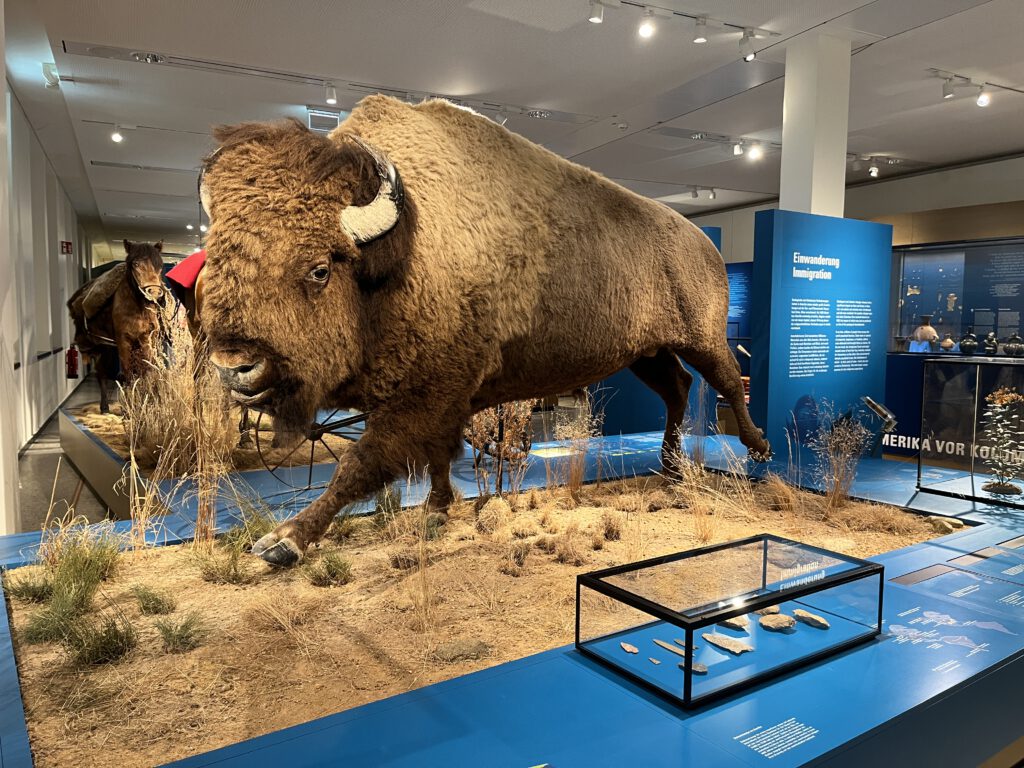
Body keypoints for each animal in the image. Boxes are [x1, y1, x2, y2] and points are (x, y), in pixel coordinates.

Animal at [68, 241, 165, 415]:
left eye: (160, 265)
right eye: (135, 264)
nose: (153, 292)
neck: (138, 309)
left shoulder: (147, 340)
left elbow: (147, 371)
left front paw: (148, 405)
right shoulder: (123, 342)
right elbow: (127, 374)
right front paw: (130, 410)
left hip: (108, 348)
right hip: (100, 348)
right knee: (101, 374)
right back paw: (105, 407)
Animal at [197, 94, 770, 565]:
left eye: (319, 269)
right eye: (214, 257)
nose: (235, 367)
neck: (405, 244)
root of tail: (706, 244)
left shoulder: (422, 395)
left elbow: (359, 462)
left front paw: (283, 540)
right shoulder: (438, 396)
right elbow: (436, 457)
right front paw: (435, 510)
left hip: (700, 337)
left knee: (723, 379)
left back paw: (756, 449)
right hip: (645, 353)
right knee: (678, 388)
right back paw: (671, 468)